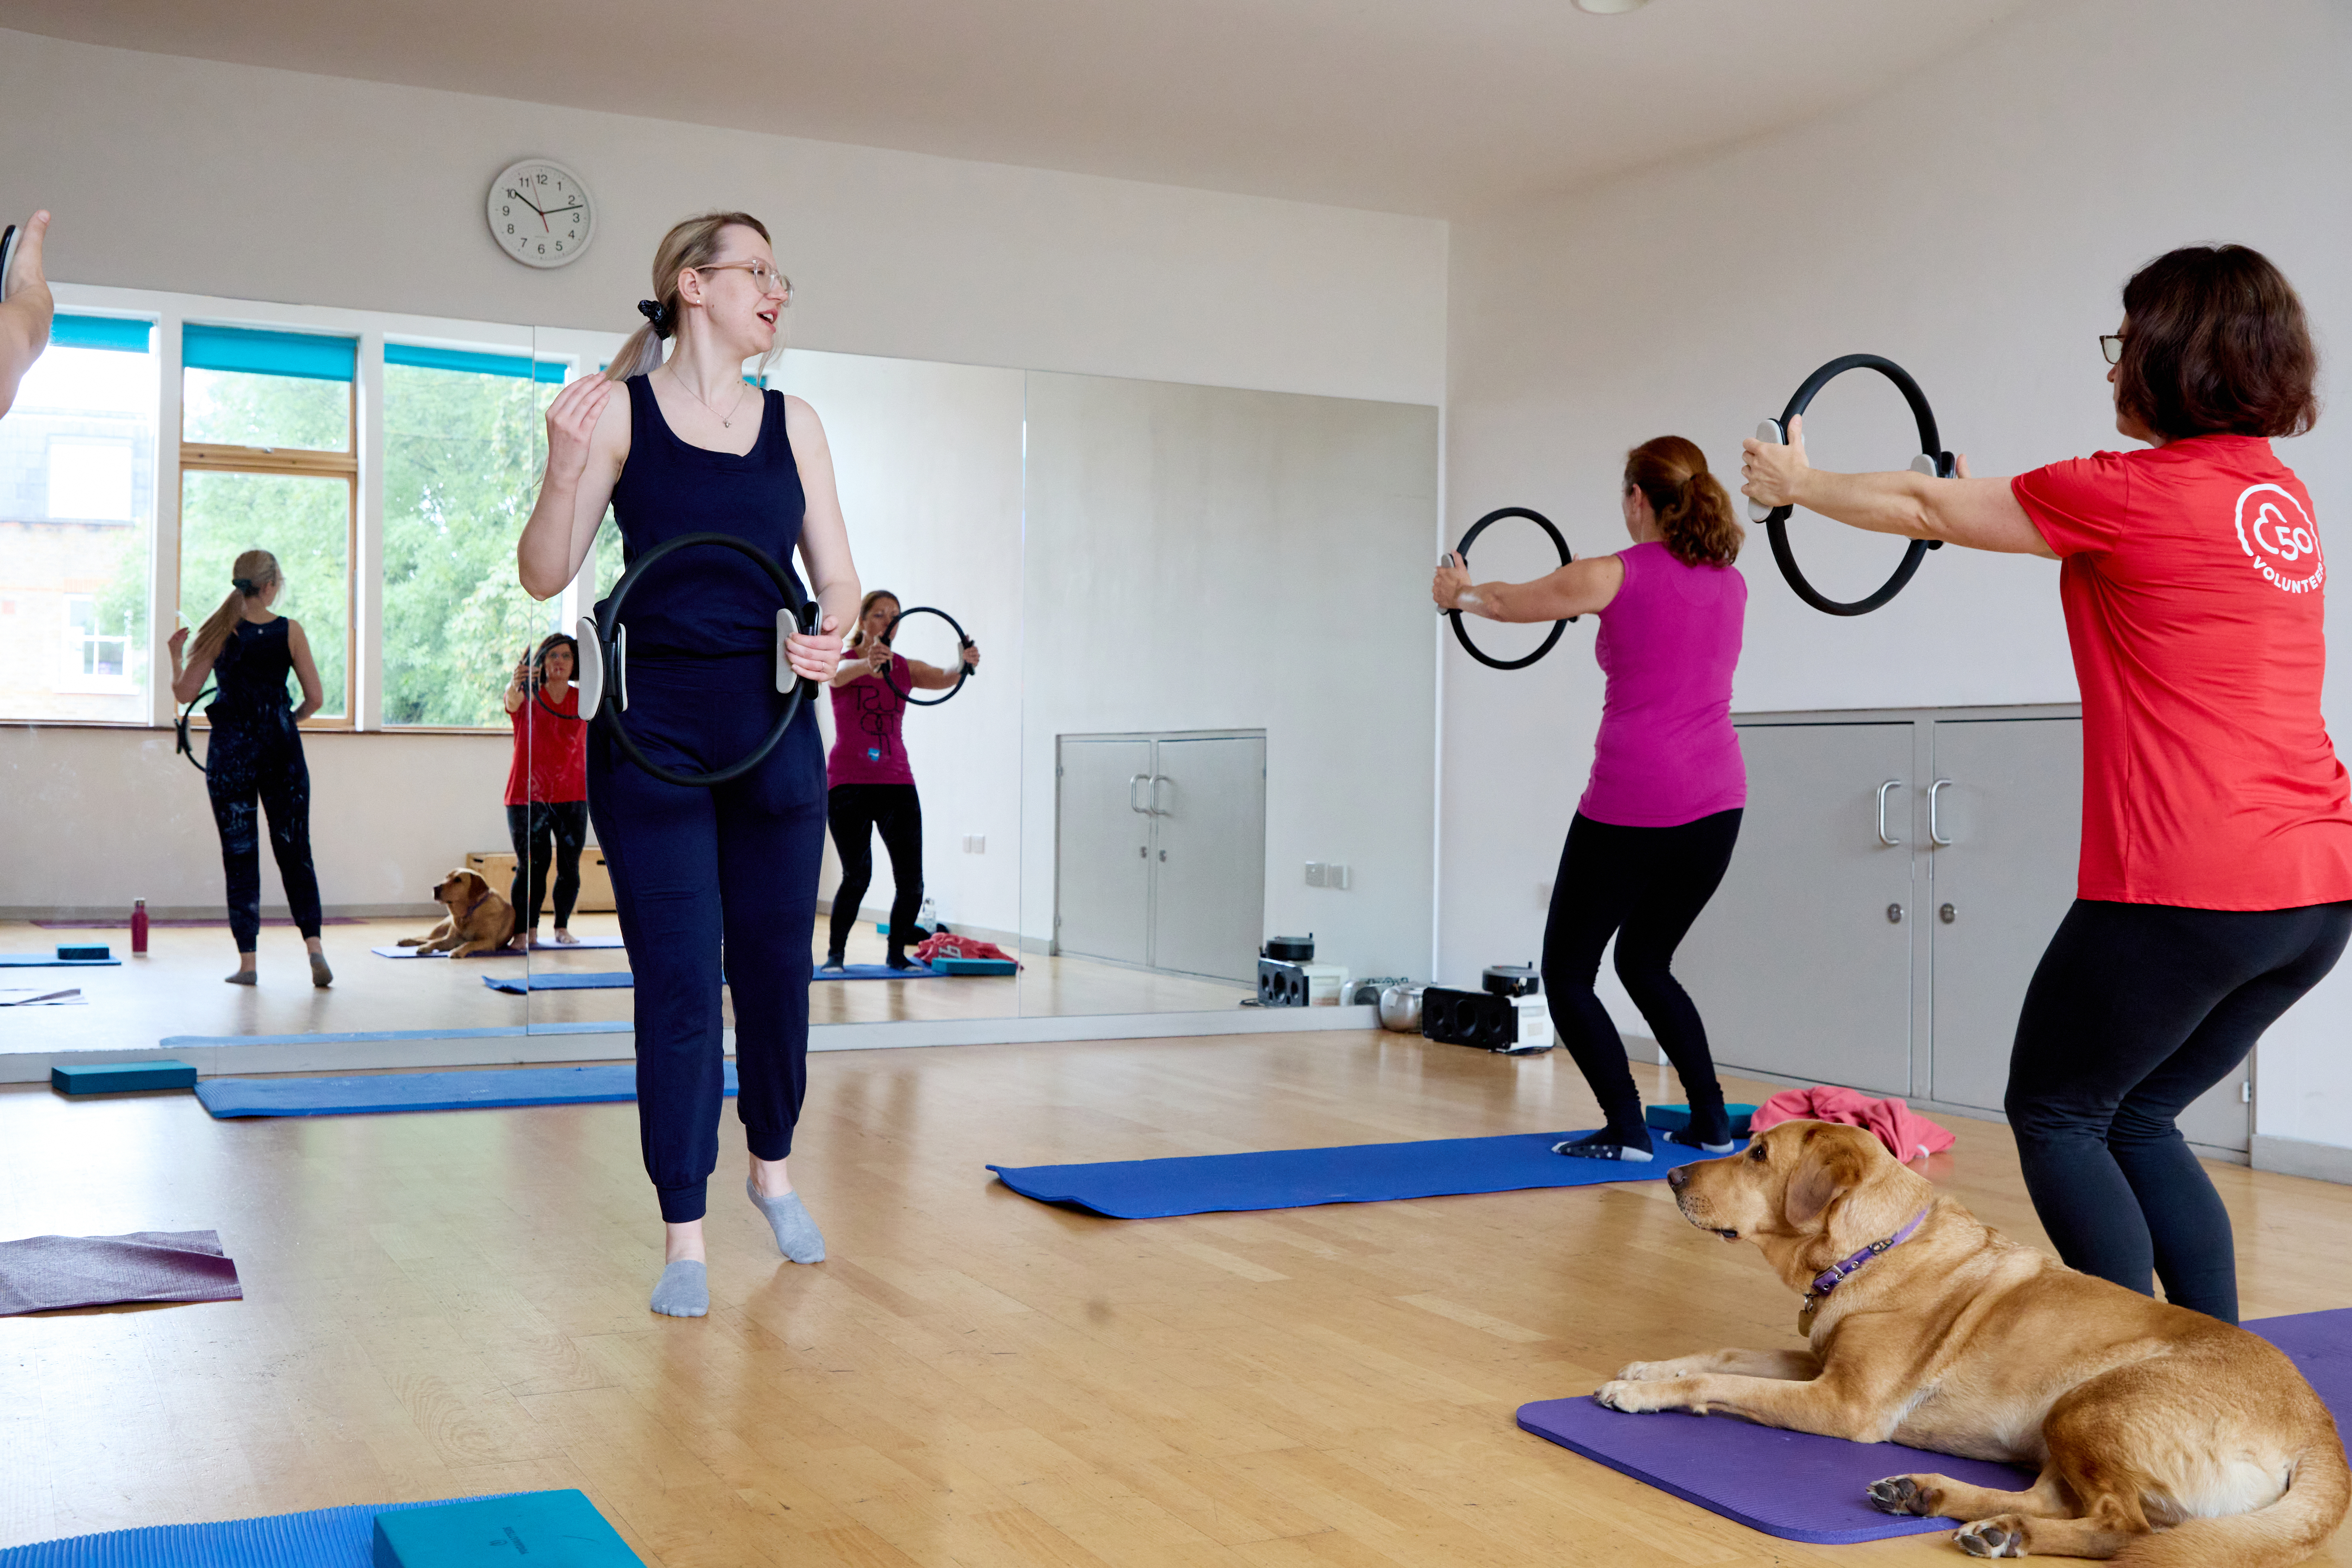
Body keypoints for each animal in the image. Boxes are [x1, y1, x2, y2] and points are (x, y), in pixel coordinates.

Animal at [395, 870, 515, 959]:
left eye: (458, 880)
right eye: (446, 877)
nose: (436, 888)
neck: (468, 914)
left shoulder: (488, 942)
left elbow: (469, 943)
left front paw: (458, 951)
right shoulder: (451, 939)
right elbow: (436, 942)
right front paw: (426, 948)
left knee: (430, 939)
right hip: (444, 924)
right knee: (429, 938)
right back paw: (407, 941)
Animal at [1590, 1124, 2342, 1561]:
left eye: (1757, 1155)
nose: (1671, 1175)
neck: (1873, 1245)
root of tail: (2321, 1431)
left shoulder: (1843, 1402)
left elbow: (1725, 1381)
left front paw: (1645, 1392)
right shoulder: (1818, 1361)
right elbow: (1724, 1354)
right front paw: (1647, 1368)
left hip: (2089, 1403)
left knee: (2120, 1527)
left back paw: (2007, 1531)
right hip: (2062, 1422)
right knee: (2058, 1500)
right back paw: (1936, 1500)